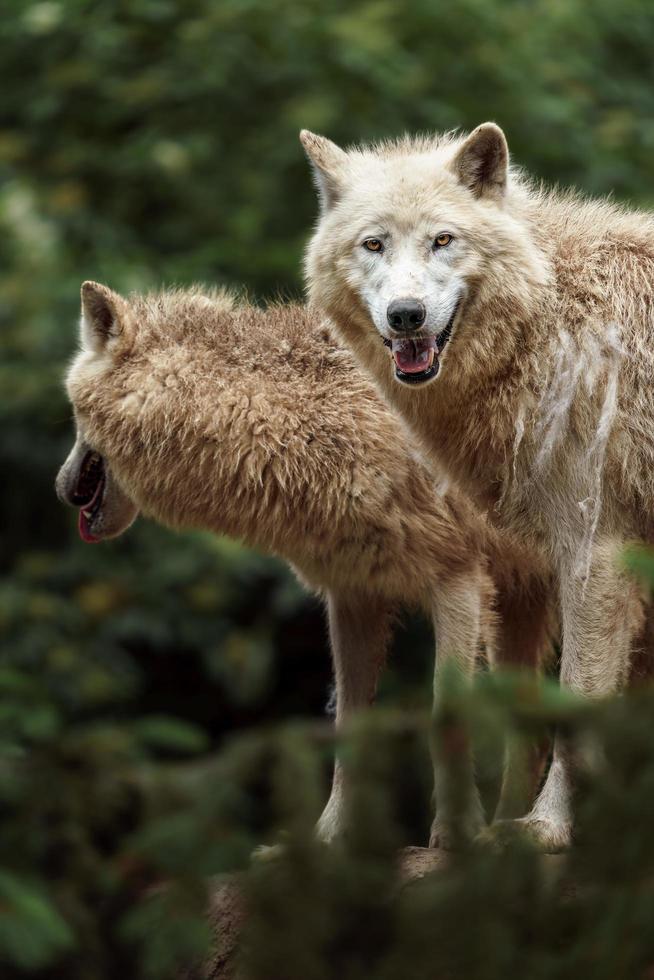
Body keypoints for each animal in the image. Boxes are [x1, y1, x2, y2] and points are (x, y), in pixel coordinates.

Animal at [57, 282, 552, 844]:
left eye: (73, 414)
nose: (61, 486)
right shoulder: (354, 596)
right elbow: (347, 729)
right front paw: (330, 840)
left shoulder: (458, 580)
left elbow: (445, 719)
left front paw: (454, 836)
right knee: (536, 733)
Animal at [304, 120, 654, 844]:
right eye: (373, 244)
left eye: (443, 239)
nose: (406, 315)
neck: (549, 316)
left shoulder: (596, 549)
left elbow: (576, 703)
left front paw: (546, 827)